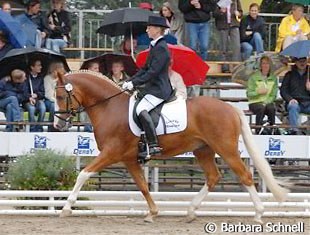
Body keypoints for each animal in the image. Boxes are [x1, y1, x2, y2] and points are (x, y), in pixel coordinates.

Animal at [54, 70, 288, 223]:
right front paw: (152, 213)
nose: (58, 124)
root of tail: (231, 108)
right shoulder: (129, 159)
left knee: (245, 176)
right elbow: (143, 186)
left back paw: (258, 213)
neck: (109, 107)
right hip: (203, 149)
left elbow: (83, 174)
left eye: (60, 96)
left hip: (226, 149)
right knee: (213, 177)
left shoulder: (111, 153)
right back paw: (191, 211)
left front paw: (66, 208)